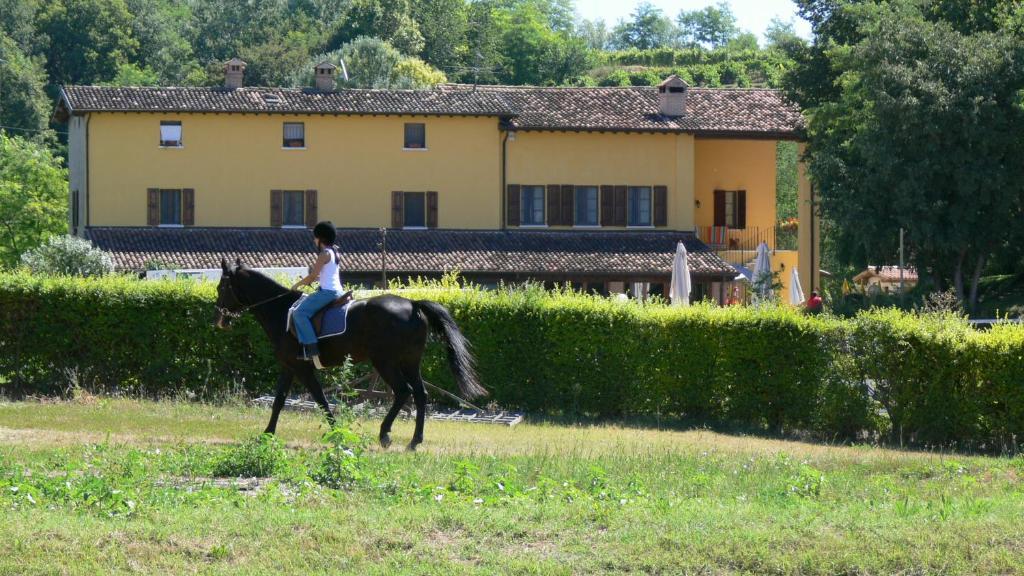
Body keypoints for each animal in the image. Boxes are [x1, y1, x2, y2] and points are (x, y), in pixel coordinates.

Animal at [212, 258, 487, 450]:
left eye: (222, 286)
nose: (220, 319)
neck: (280, 310)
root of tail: (412, 304)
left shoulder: (302, 368)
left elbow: (321, 400)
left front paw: (337, 433)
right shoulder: (289, 367)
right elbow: (279, 400)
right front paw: (268, 434)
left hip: (385, 362)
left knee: (403, 392)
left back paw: (385, 434)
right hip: (409, 362)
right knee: (420, 394)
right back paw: (414, 441)